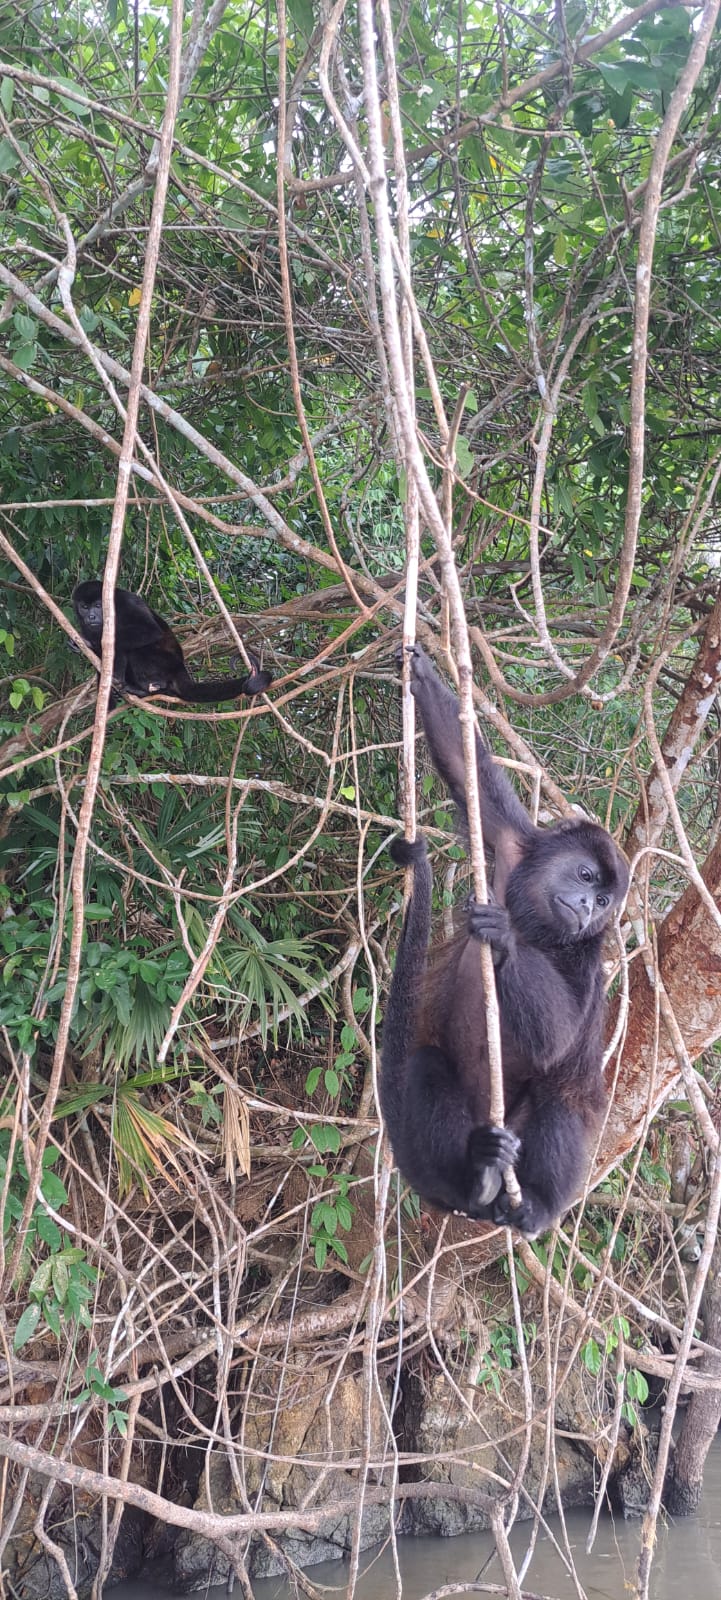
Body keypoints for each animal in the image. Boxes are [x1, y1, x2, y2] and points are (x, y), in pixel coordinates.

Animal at [72, 581, 272, 704]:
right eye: (84, 607)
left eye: (98, 606)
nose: (91, 616)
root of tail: (180, 668)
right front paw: (85, 644)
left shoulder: (124, 602)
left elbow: (149, 631)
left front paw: (95, 642)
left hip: (162, 662)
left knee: (135, 650)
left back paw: (142, 688)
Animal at [380, 643, 629, 1237]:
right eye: (586, 877)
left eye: (604, 903)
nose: (585, 908)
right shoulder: (515, 842)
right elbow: (468, 775)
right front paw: (423, 675)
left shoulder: (590, 961)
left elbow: (559, 1039)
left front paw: (506, 942)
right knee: (425, 1065)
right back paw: (475, 1177)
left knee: (560, 1100)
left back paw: (531, 1204)